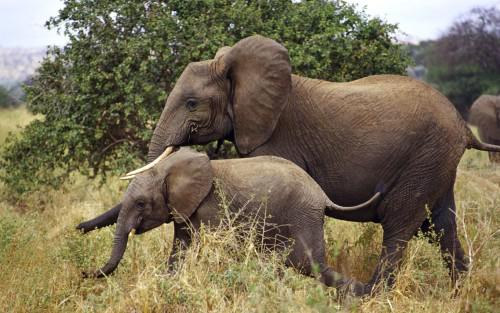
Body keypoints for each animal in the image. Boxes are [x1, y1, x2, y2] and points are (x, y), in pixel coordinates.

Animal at [78, 147, 378, 294]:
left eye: (141, 203)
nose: (78, 227)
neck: (170, 168)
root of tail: (322, 194)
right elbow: (180, 250)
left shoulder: (211, 207)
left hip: (303, 215)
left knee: (306, 264)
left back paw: (361, 295)